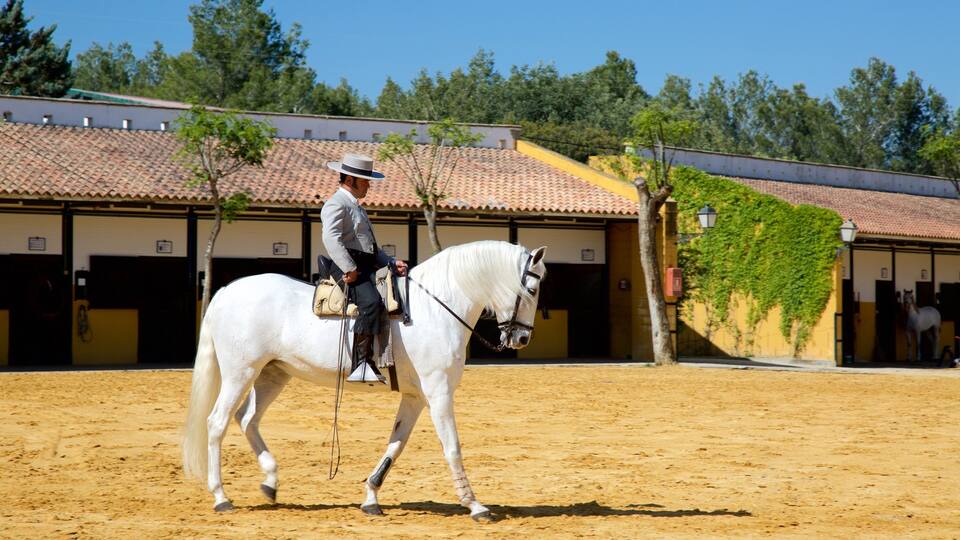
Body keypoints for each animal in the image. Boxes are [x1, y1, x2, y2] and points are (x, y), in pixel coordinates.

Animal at [181, 240, 547, 521]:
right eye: (531, 289)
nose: (522, 339)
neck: (435, 308)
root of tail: (226, 291)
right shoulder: (439, 392)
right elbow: (452, 447)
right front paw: (475, 505)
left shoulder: (416, 397)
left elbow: (396, 444)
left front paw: (371, 497)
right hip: (240, 373)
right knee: (217, 423)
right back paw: (221, 497)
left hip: (273, 374)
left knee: (248, 419)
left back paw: (270, 482)